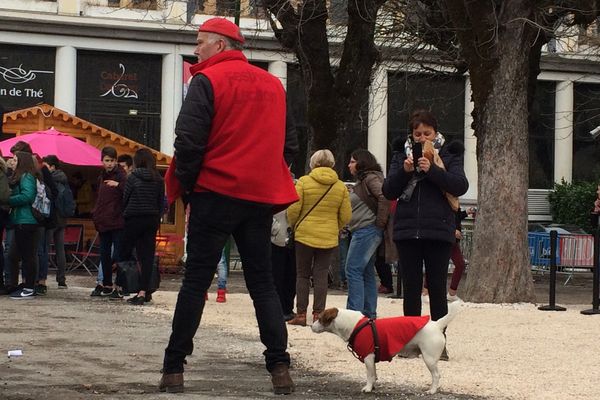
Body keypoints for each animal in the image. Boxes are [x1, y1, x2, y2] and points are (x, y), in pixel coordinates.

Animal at [312, 300, 462, 394]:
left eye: (319, 318)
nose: (311, 326)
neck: (355, 325)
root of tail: (437, 325)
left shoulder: (368, 357)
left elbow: (369, 375)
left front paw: (368, 388)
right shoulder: (372, 359)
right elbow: (374, 374)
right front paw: (372, 386)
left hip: (429, 358)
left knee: (436, 375)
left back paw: (432, 390)